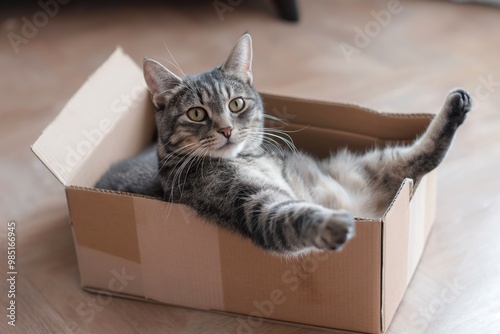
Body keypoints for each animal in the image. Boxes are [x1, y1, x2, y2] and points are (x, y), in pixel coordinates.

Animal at [95, 34, 470, 254]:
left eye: (236, 104)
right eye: (197, 113)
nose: (227, 130)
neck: (251, 160)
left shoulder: (351, 172)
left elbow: (417, 155)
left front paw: (456, 106)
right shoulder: (255, 206)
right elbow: (296, 215)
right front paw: (332, 223)